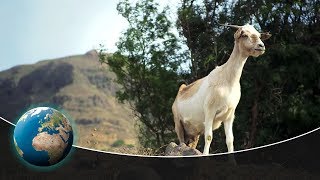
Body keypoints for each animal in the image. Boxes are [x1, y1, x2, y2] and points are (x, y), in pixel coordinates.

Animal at [171, 23, 272, 155]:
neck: (227, 80)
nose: (261, 46)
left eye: (259, 35)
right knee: (181, 141)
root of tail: (181, 91)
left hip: (194, 133)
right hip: (178, 123)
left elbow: (230, 140)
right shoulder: (210, 111)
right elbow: (209, 137)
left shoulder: (230, 115)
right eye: (244, 35)